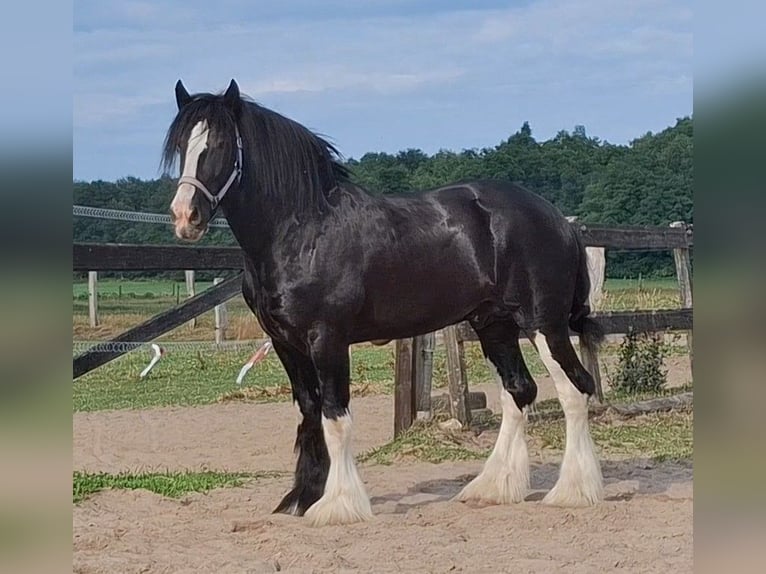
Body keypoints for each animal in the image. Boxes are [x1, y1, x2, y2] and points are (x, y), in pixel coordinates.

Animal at [164, 79, 605, 526]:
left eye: (219, 144)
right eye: (182, 145)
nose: (185, 216)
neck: (303, 231)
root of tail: (557, 219)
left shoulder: (327, 339)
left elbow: (335, 417)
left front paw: (338, 505)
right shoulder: (286, 343)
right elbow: (309, 413)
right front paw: (302, 498)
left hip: (543, 324)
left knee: (574, 390)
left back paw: (572, 491)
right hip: (494, 325)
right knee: (518, 392)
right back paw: (494, 487)